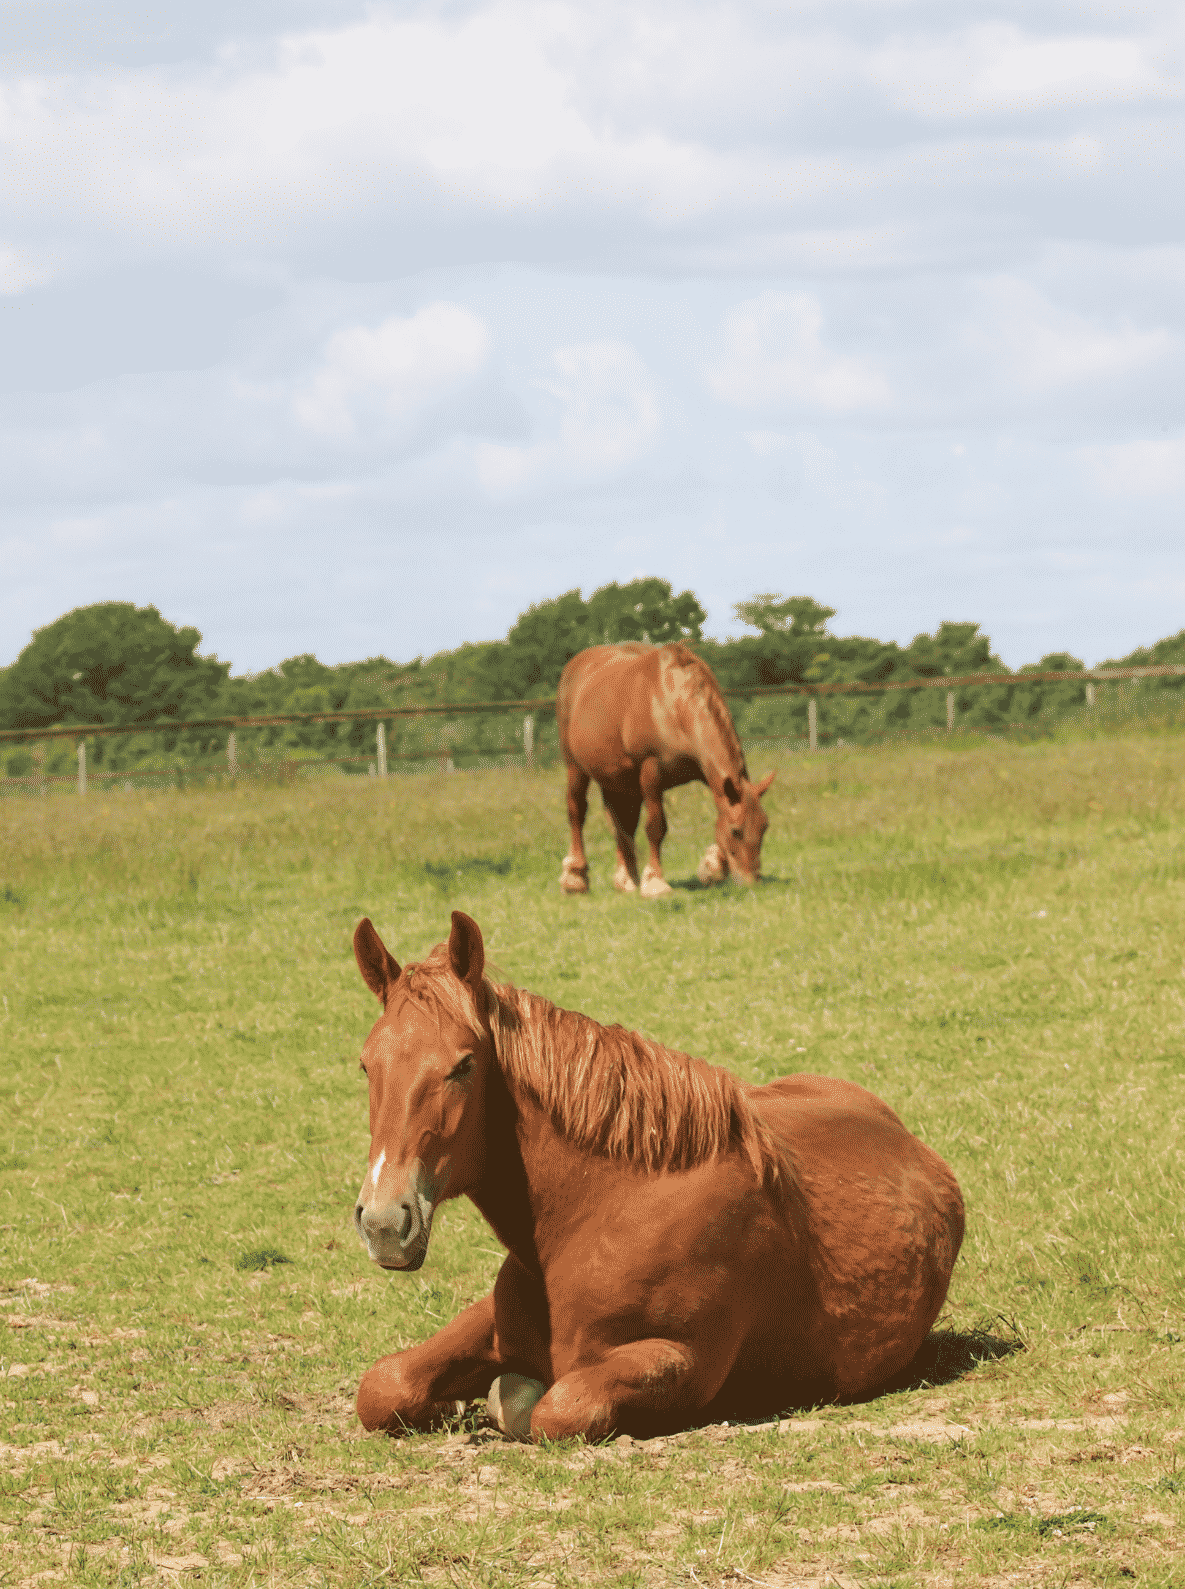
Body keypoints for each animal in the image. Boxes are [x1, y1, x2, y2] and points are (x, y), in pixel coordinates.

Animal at [350, 911, 965, 1443]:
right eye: (365, 1064)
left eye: (464, 1065)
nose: (384, 1224)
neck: (599, 1211)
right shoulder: (490, 1319)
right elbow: (383, 1385)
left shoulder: (684, 1361)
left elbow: (554, 1407)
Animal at [556, 642, 775, 899]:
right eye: (736, 831)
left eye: (764, 827)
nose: (752, 882)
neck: (670, 702)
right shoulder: (651, 772)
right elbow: (656, 826)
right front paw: (655, 882)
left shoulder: (704, 771)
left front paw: (712, 867)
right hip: (575, 767)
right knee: (576, 811)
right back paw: (575, 878)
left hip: (617, 779)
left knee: (620, 824)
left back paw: (626, 879)